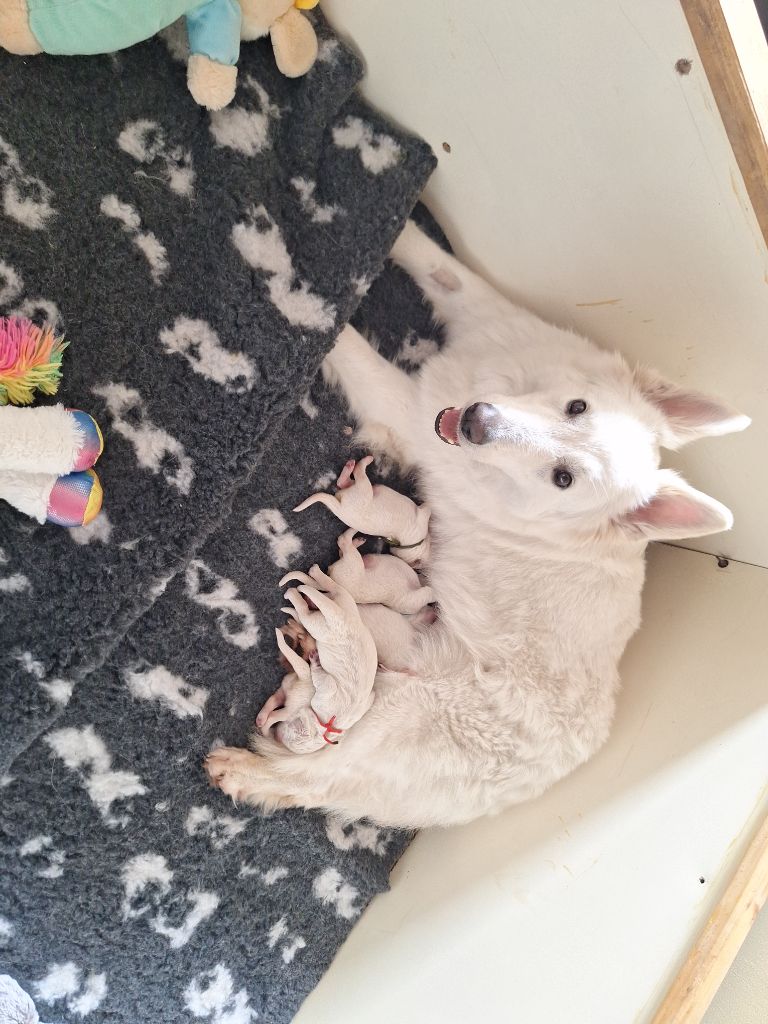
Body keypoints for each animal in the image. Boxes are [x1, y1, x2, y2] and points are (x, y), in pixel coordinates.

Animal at [292, 458, 430, 565]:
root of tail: (340, 507)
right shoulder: (423, 515)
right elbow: (428, 508)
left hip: (359, 490)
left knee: (343, 482)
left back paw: (350, 466)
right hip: (365, 489)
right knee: (358, 472)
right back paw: (364, 461)